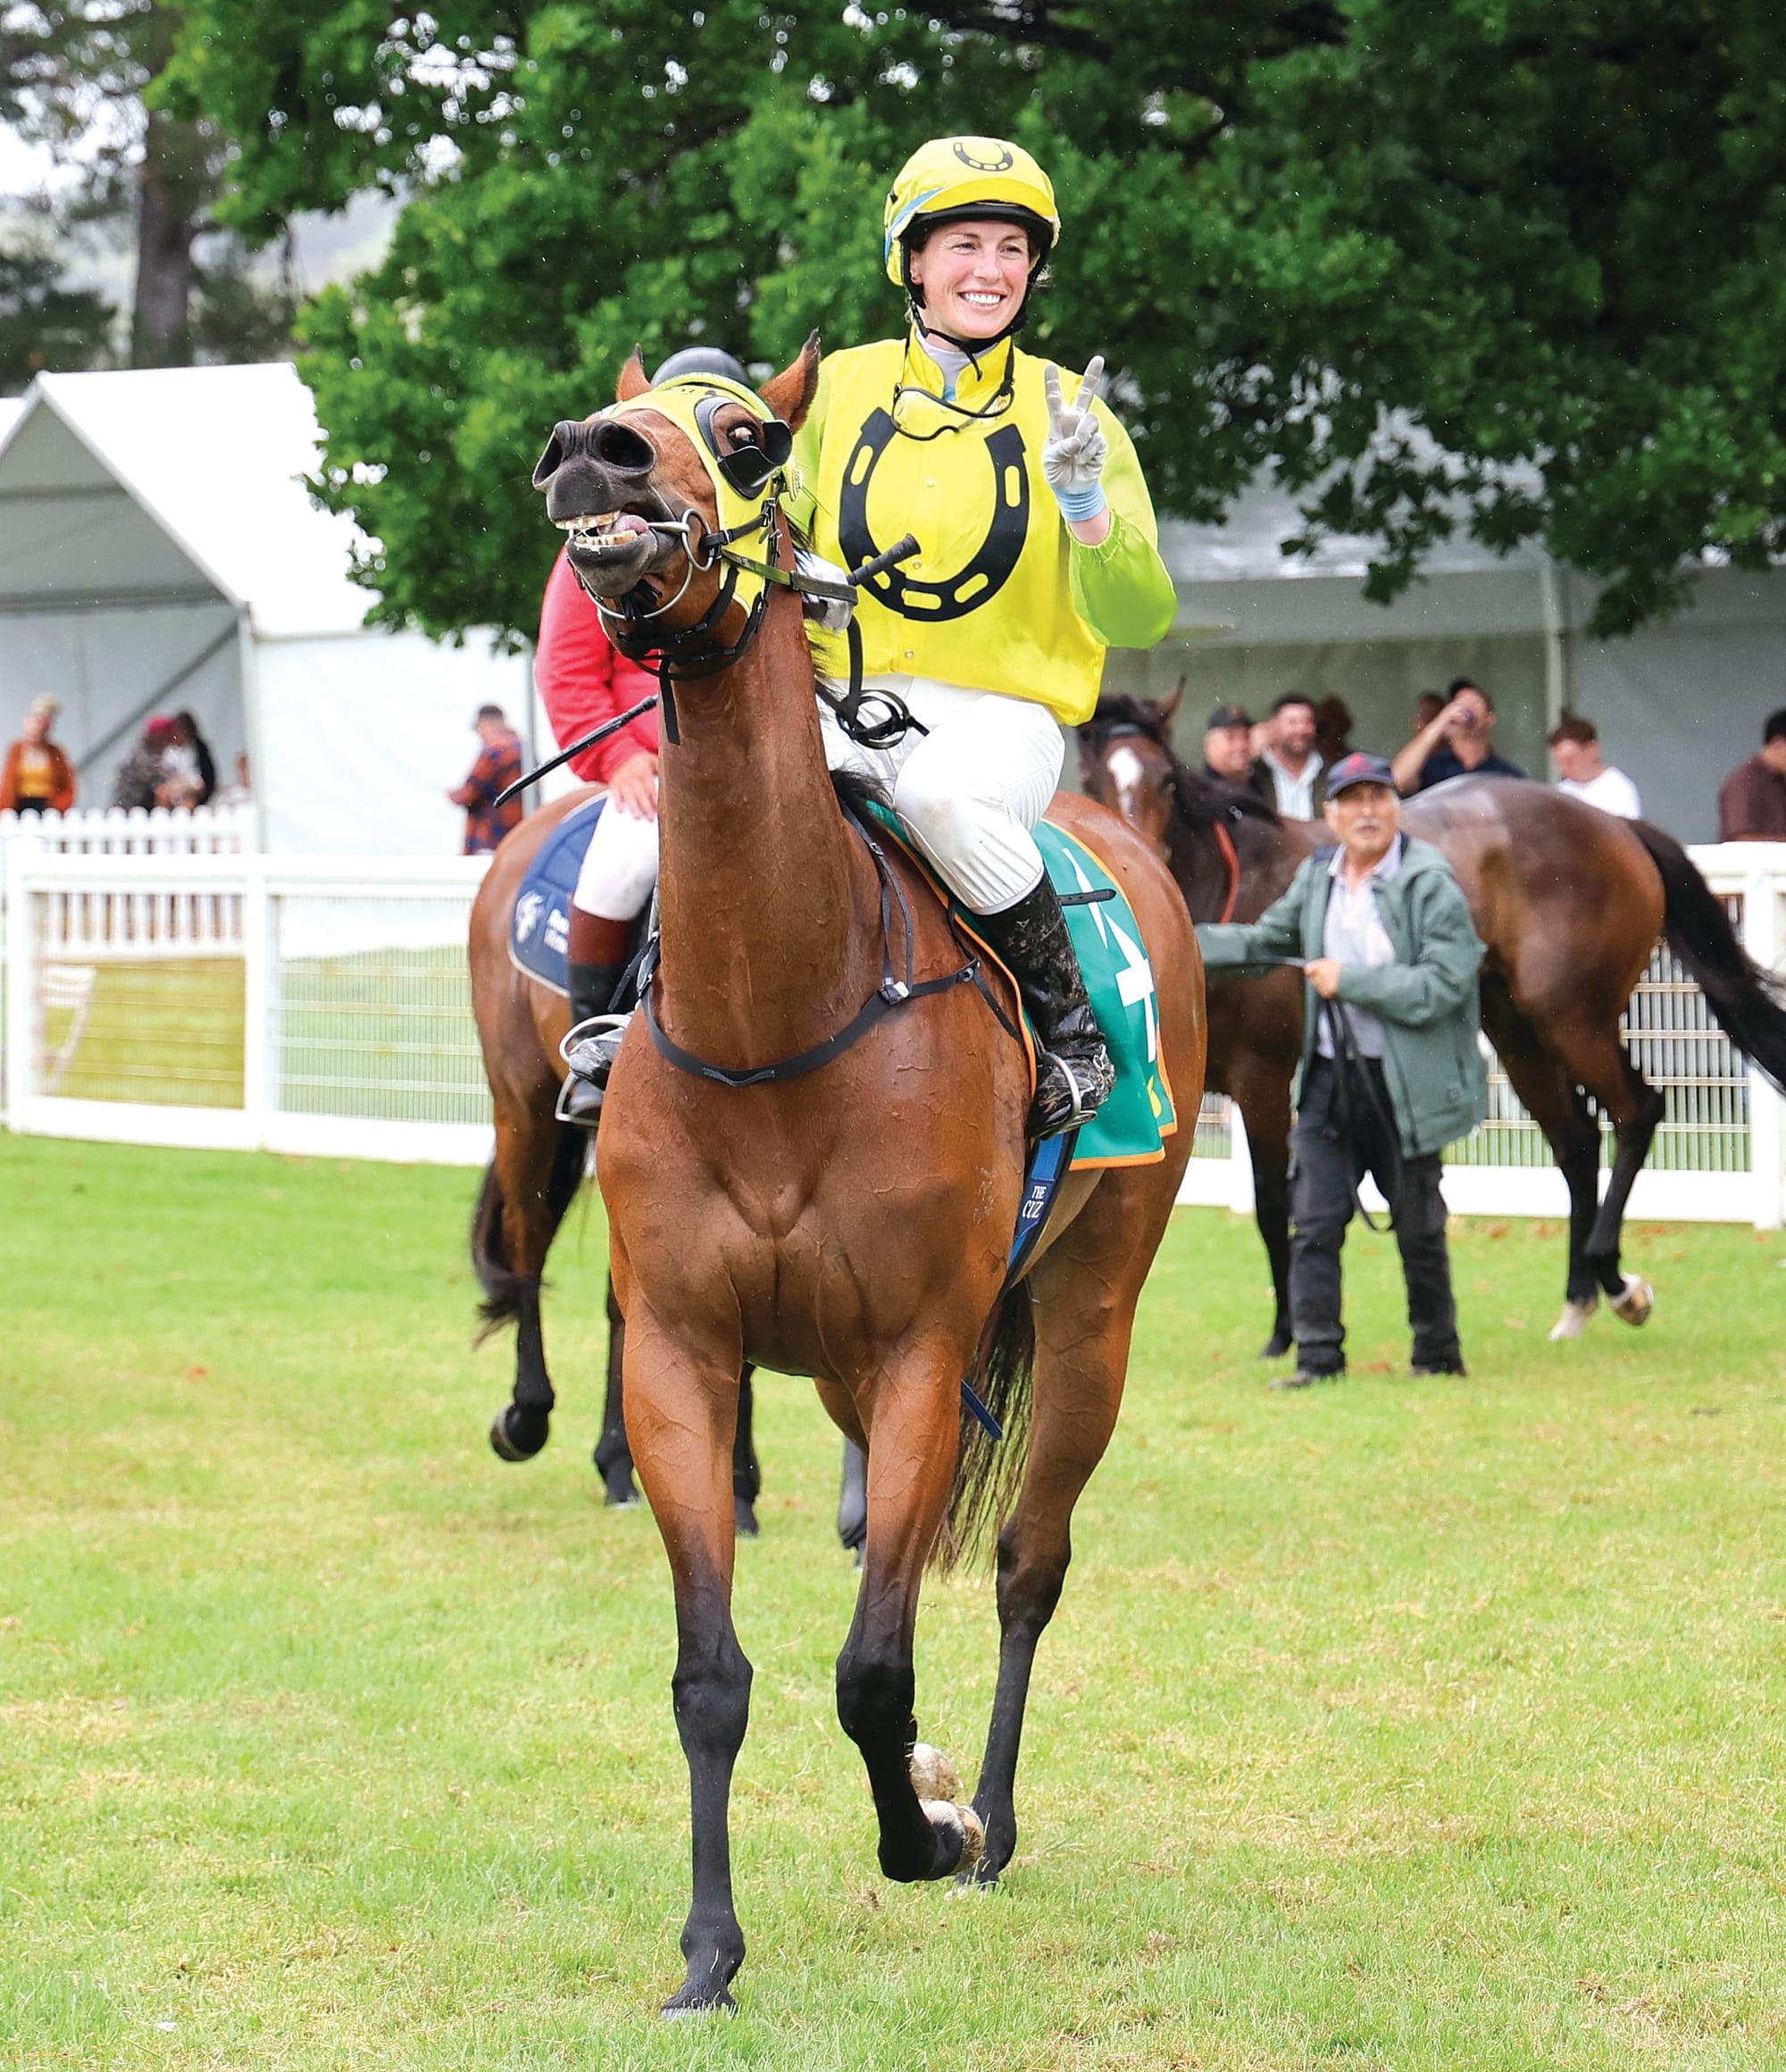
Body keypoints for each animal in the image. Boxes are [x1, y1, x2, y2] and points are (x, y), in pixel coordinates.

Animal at [531, 339, 1204, 2013]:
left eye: (747, 439)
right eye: (620, 409)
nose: (593, 454)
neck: (778, 1011)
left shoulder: (919, 1351)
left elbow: (873, 1661)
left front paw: (923, 1830)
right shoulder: (689, 1355)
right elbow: (714, 1676)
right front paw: (708, 1953)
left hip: (1089, 1314)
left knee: (1029, 1561)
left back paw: (994, 1819)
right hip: (836, 1369)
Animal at [1081, 691, 1786, 1345]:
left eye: (1166, 780)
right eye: (1093, 781)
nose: (1135, 855)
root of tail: (1614, 823)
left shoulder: (1263, 1079)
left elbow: (1273, 1203)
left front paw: (1285, 1334)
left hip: (1574, 1019)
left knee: (1636, 1112)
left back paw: (1616, 1283)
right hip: (1515, 1029)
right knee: (1577, 1141)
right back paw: (1578, 1301)